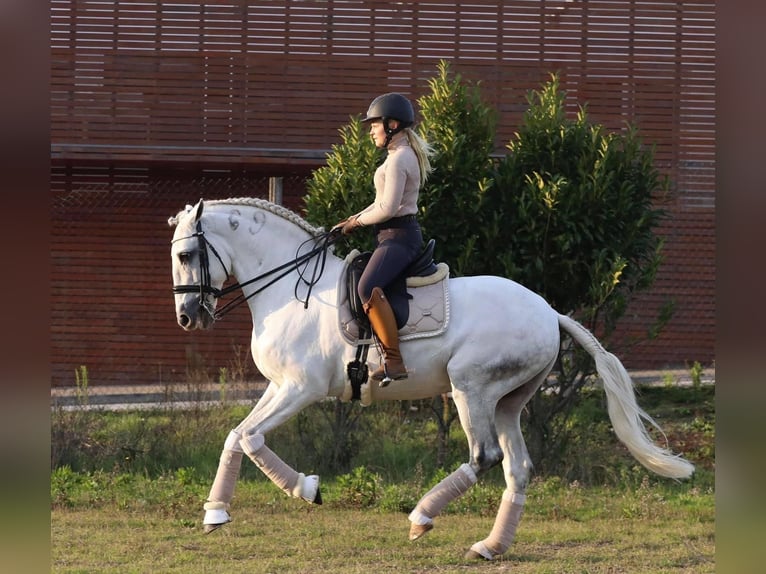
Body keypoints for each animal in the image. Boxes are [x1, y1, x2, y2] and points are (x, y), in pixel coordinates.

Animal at [168, 198, 696, 564]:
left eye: (189, 254)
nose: (188, 317)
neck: (293, 290)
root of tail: (549, 312)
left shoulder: (302, 389)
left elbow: (251, 437)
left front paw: (304, 488)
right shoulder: (280, 387)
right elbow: (239, 435)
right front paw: (219, 512)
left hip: (471, 389)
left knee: (485, 456)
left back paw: (422, 517)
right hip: (509, 402)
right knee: (518, 468)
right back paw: (490, 546)